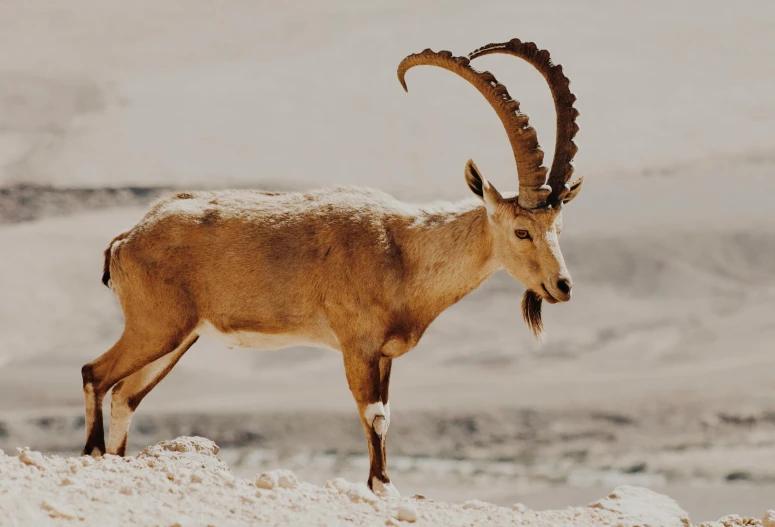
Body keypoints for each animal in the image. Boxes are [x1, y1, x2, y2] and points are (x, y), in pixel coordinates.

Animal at [82, 39, 584, 498]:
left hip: (176, 339)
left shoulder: (383, 355)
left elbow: (386, 413)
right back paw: (92, 452)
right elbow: (375, 415)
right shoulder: (355, 346)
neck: (403, 253)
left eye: (559, 226)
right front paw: (382, 487)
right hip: (155, 327)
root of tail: (126, 238)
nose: (562, 286)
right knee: (95, 373)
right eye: (521, 230)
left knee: (125, 394)